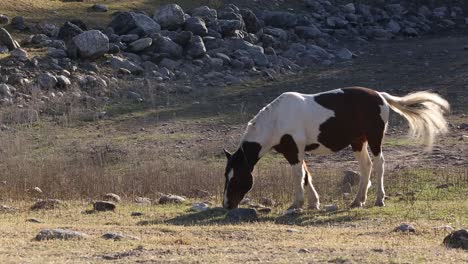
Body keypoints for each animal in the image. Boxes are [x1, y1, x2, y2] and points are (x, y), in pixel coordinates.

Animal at [223, 86, 450, 210]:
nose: (227, 205)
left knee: (379, 165)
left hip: (374, 139)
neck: (276, 120)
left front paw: (297, 204)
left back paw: (379, 199)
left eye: (236, 178)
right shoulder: (298, 152)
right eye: (226, 176)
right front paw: (314, 203)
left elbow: (299, 176)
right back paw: (358, 201)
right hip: (358, 142)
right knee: (366, 166)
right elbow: (307, 175)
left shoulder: (294, 151)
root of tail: (380, 96)